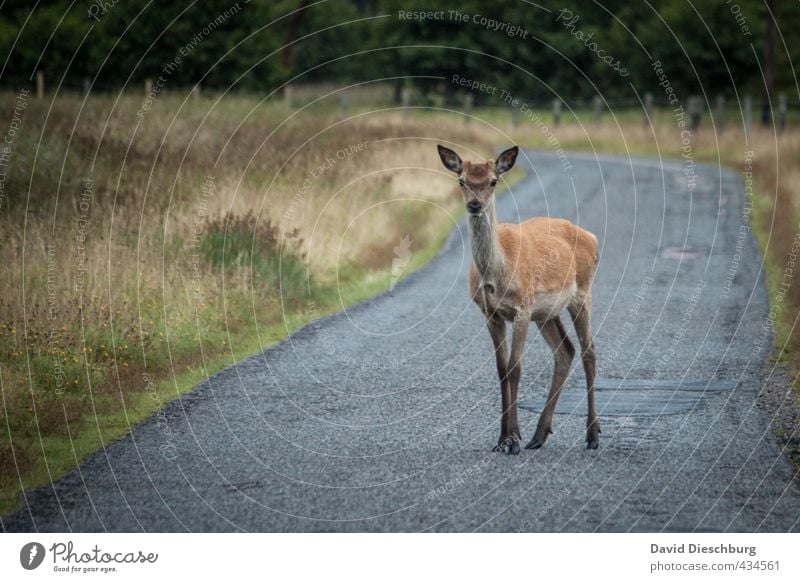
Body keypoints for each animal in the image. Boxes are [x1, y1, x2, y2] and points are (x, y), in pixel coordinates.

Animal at [438, 145, 600, 456]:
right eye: (462, 181)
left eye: (493, 181)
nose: (475, 205)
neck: (496, 278)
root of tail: (593, 237)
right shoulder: (491, 314)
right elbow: (501, 369)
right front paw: (503, 438)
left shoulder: (522, 308)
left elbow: (515, 367)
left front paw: (512, 440)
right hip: (547, 313)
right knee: (566, 350)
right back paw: (539, 435)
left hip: (582, 292)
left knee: (589, 351)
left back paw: (593, 435)